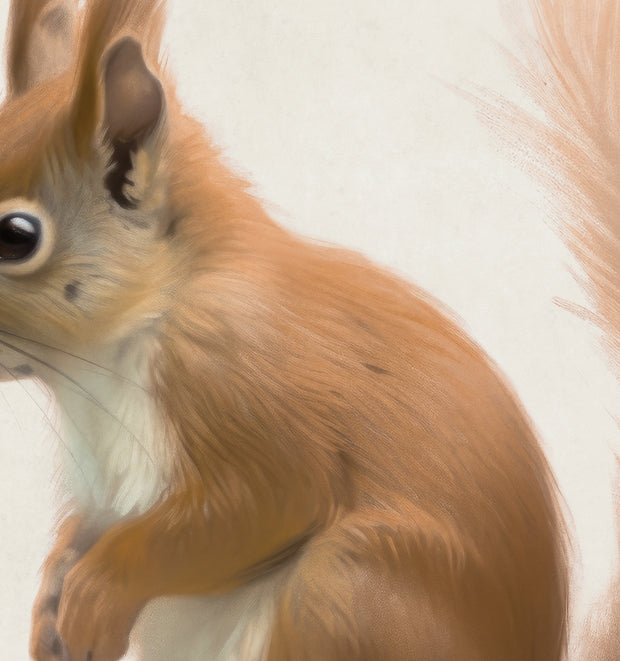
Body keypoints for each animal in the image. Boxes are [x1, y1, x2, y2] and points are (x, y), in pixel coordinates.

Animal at [0, 1, 616, 660]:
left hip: (350, 584)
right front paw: (49, 599)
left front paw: (96, 594)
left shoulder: (243, 387)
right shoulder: (101, 488)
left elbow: (264, 503)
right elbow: (80, 529)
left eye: (16, 237)